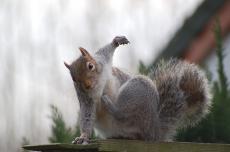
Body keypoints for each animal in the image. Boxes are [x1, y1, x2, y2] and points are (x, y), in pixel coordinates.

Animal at [63, 36, 211, 145]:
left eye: (90, 66)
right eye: (74, 79)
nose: (87, 86)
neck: (98, 85)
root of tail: (154, 130)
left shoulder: (102, 61)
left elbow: (105, 51)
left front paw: (117, 41)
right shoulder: (86, 99)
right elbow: (87, 116)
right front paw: (83, 137)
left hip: (137, 92)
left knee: (124, 115)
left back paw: (110, 105)